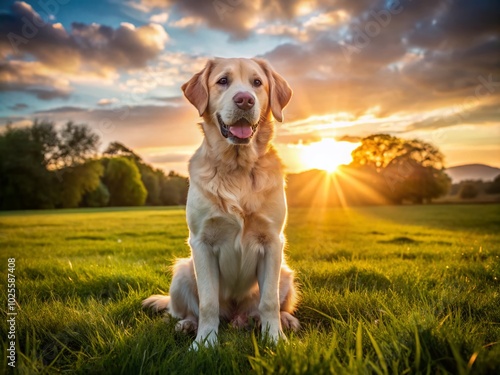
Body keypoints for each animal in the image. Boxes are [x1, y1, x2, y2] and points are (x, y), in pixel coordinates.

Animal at [143, 57, 298, 348]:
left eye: (257, 82)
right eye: (223, 81)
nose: (245, 100)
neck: (237, 167)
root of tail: (236, 316)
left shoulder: (273, 241)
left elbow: (269, 302)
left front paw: (274, 339)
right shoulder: (202, 242)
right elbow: (208, 303)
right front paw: (204, 343)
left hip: (285, 272)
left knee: (267, 306)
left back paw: (283, 321)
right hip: (182, 272)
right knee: (183, 310)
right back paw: (187, 325)